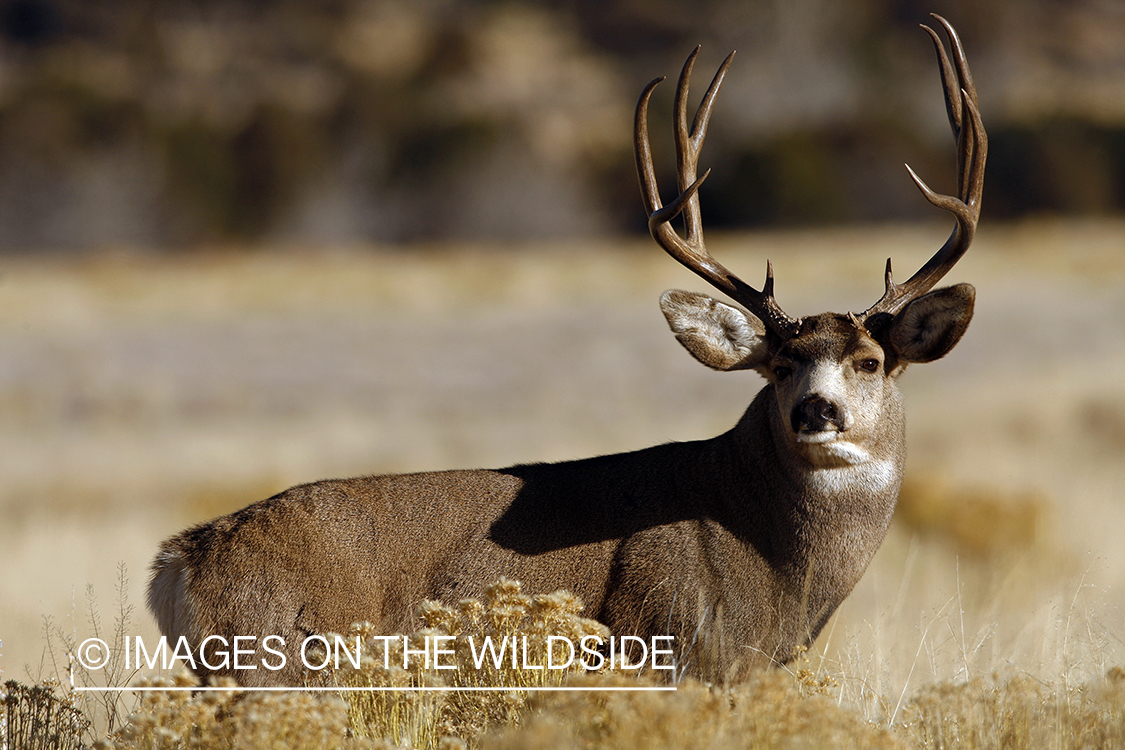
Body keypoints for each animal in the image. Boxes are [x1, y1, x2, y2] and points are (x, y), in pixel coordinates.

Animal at [148, 15, 985, 687]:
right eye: (779, 365)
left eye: (869, 362)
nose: (816, 411)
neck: (765, 551)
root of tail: (177, 563)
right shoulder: (671, 646)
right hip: (288, 662)